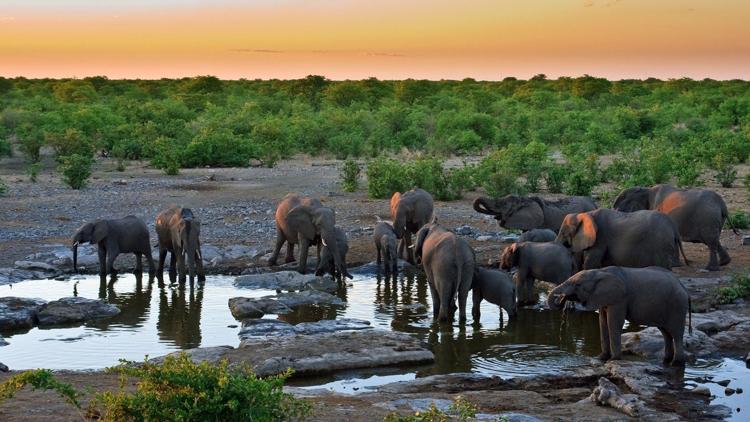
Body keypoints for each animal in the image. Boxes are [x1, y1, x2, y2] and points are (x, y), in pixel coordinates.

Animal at [548, 268, 692, 366]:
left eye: (577, 285)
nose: (561, 299)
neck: (600, 271)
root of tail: (683, 287)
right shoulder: (603, 297)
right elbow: (602, 322)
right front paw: (600, 358)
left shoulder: (620, 299)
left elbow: (613, 322)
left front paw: (614, 359)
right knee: (666, 333)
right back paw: (665, 361)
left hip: (677, 306)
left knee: (676, 334)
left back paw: (676, 363)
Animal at [556, 209, 692, 270]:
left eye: (563, 233)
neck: (587, 214)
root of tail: (673, 227)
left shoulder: (600, 238)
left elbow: (591, 261)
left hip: (661, 245)